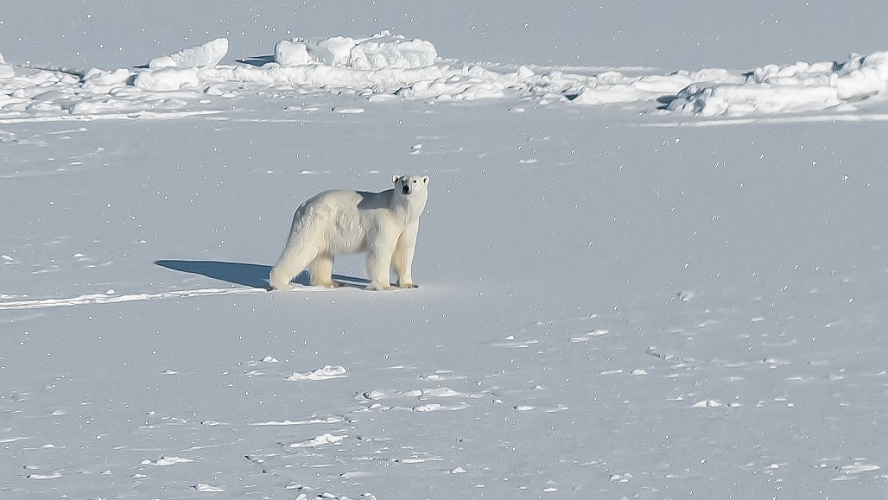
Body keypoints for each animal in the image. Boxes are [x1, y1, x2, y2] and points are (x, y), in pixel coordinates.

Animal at [270, 176, 430, 292]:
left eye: (414, 181)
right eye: (402, 180)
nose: (406, 188)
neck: (397, 211)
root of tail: (302, 206)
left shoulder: (409, 226)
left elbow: (404, 251)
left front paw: (409, 284)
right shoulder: (383, 222)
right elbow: (381, 250)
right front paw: (386, 286)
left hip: (325, 230)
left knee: (323, 255)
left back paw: (330, 283)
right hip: (314, 223)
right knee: (299, 249)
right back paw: (282, 284)